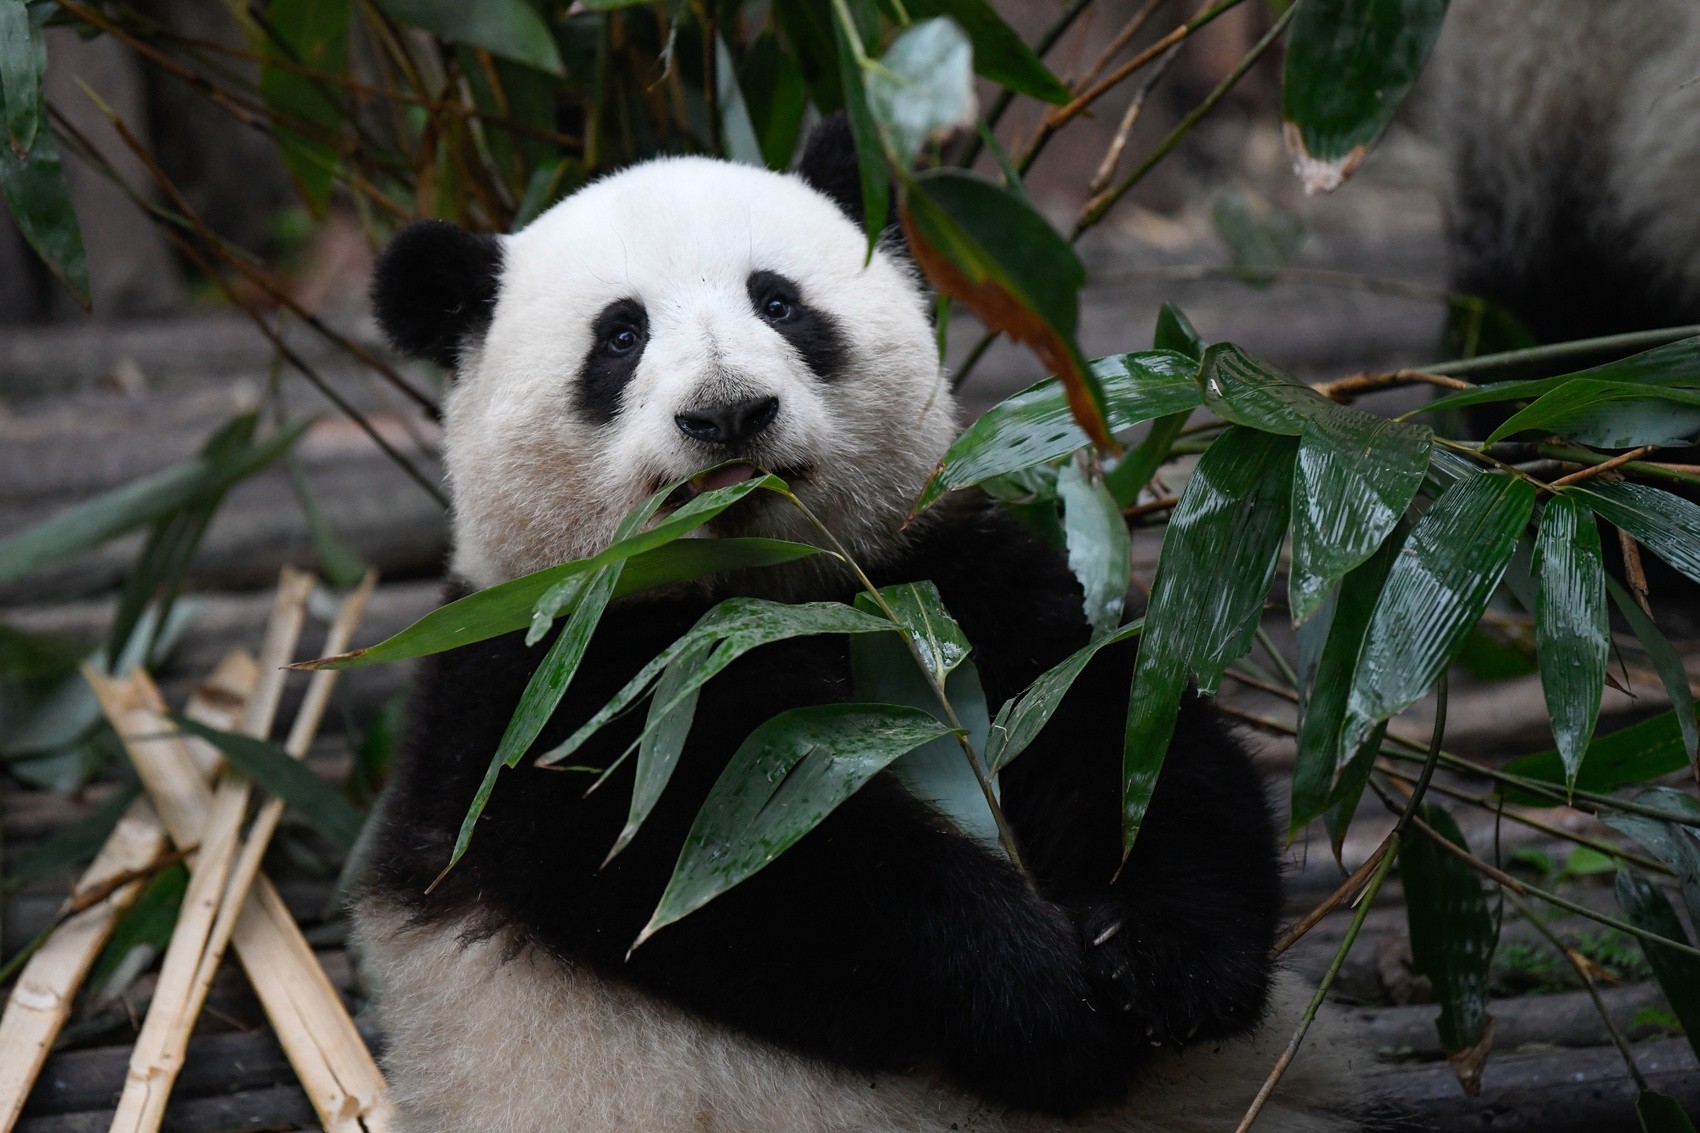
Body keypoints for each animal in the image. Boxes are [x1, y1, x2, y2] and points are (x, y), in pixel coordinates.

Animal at [352, 117, 1356, 1133]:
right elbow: (736, 856)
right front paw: (1036, 1000)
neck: (759, 589)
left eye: (780, 302)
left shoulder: (936, 579)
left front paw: (1164, 962)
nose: (728, 412)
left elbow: (1119, 725)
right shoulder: (546, 687)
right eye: (620, 336)